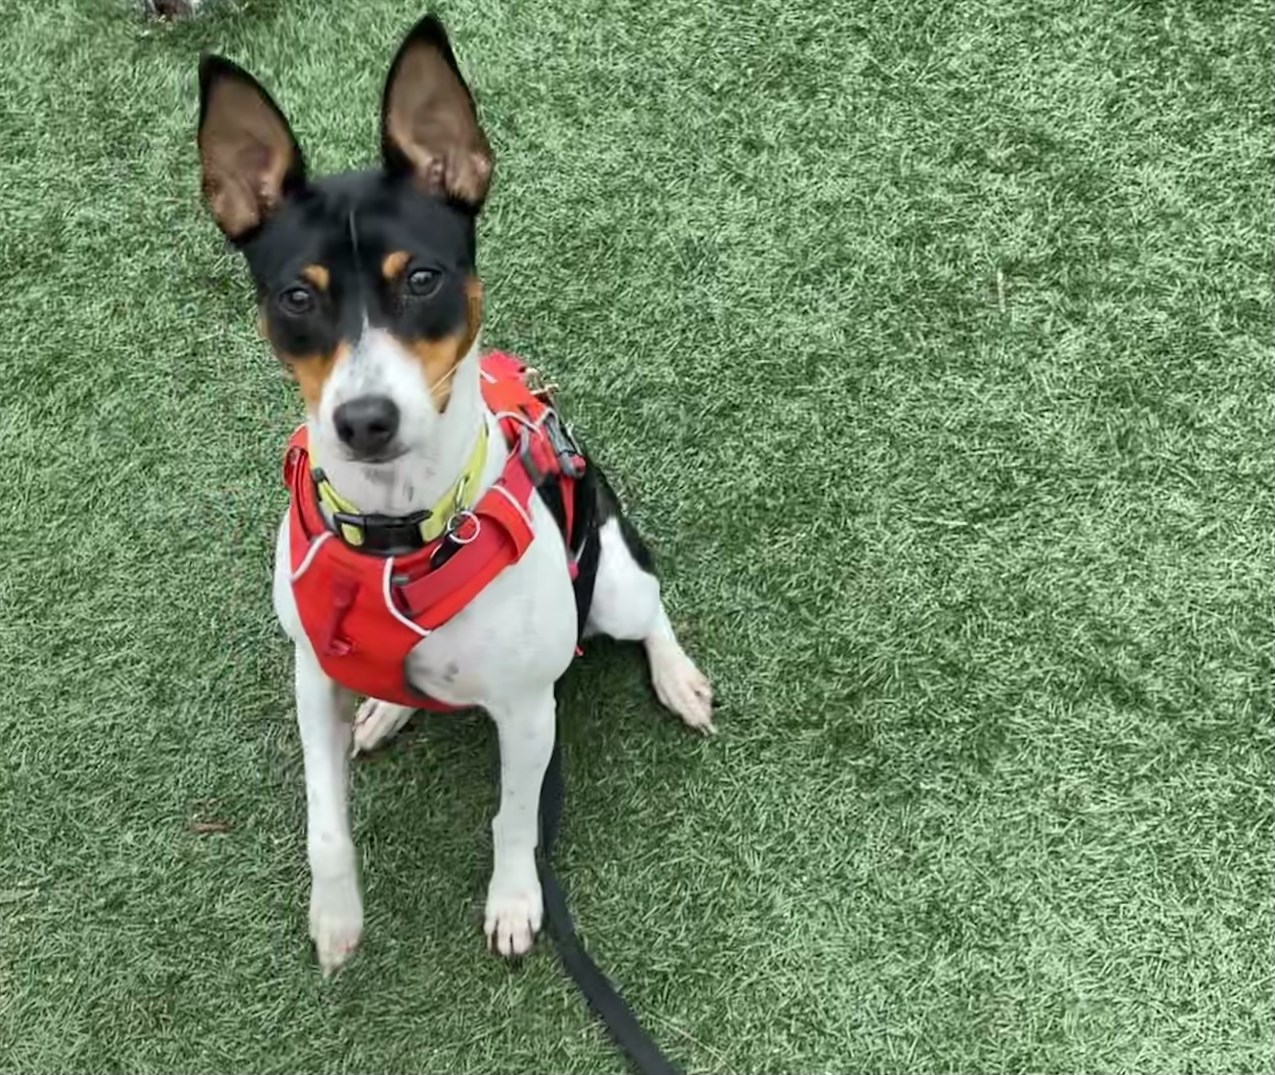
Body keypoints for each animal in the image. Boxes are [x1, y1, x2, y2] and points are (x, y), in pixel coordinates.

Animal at [198, 12, 719, 969]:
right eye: (297, 297)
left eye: (422, 278)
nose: (364, 419)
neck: (396, 526)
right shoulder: (309, 677)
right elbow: (324, 825)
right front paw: (336, 917)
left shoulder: (527, 710)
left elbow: (515, 818)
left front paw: (515, 901)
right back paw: (383, 710)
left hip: (612, 584)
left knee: (650, 606)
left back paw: (677, 678)